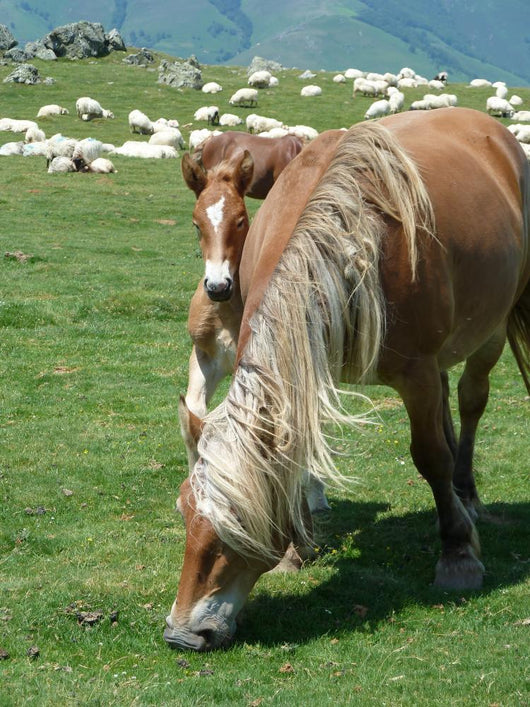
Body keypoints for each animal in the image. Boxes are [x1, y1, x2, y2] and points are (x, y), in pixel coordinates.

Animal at [166, 107, 530, 651]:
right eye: (186, 511)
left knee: (469, 402)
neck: (352, 252)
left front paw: (458, 556)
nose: (182, 634)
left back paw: (465, 497)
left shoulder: (417, 373)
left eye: (237, 524)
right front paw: (296, 553)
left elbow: (431, 458)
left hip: (493, 327)